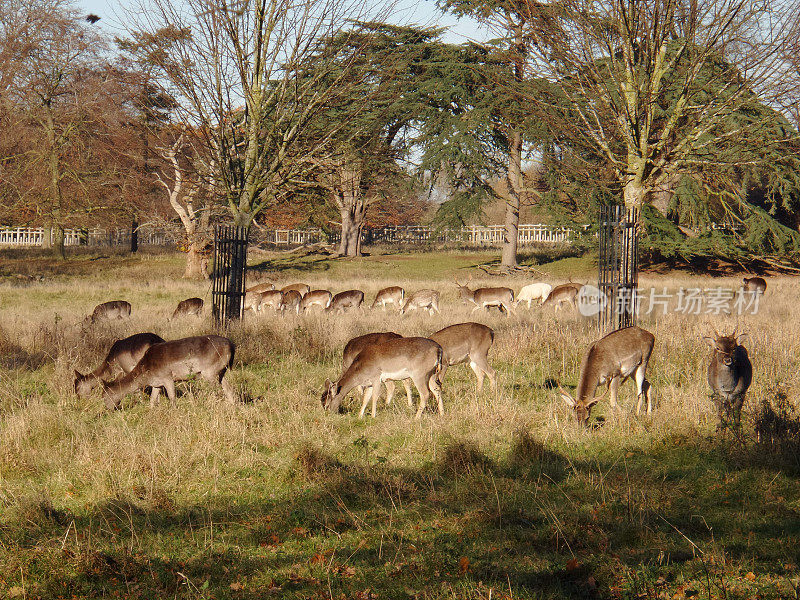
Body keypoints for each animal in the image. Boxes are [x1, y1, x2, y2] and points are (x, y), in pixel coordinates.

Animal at [101, 336, 236, 410]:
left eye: (104, 396)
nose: (108, 409)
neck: (146, 372)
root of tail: (231, 345)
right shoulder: (157, 384)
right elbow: (152, 400)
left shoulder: (167, 377)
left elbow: (172, 398)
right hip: (221, 371)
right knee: (228, 389)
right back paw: (234, 406)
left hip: (209, 372)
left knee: (218, 392)